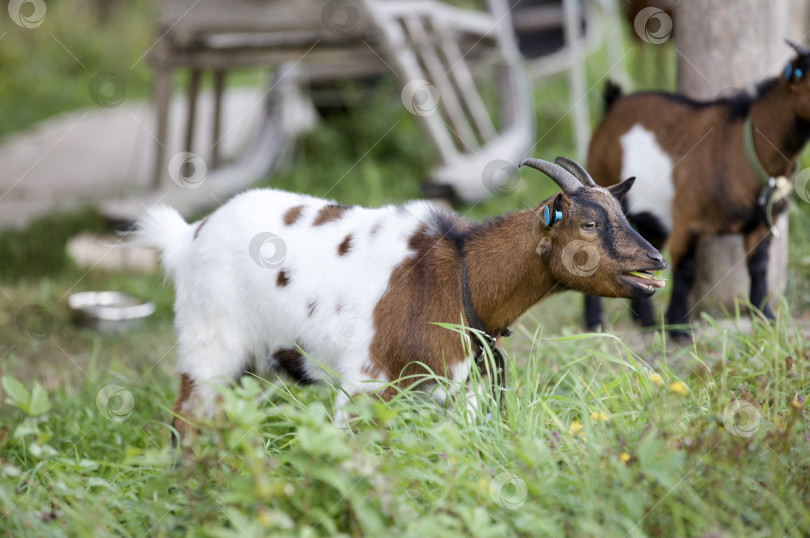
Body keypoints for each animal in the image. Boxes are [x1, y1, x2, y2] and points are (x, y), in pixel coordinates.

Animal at [131, 156, 664, 440]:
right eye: (589, 223)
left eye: (622, 212)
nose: (656, 261)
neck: (458, 272)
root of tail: (187, 237)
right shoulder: (364, 383)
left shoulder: (459, 391)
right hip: (209, 344)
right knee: (186, 418)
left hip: (254, 363)